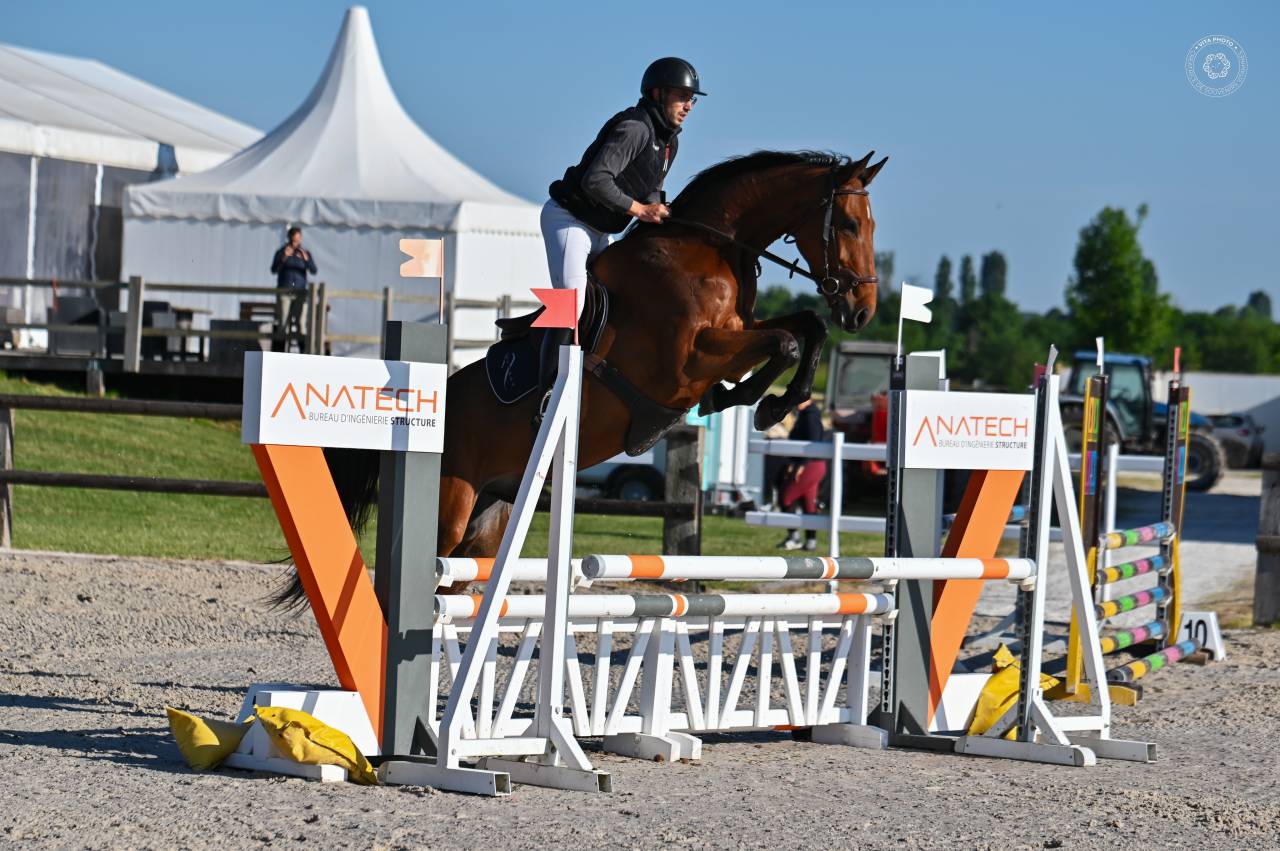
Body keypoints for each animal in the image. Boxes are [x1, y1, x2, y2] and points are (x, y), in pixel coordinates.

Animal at [281, 149, 886, 606]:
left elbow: (803, 327)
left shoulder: (736, 334)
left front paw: (771, 401)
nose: (862, 312)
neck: (707, 250)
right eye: (849, 223)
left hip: (489, 520)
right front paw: (758, 402)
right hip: (450, 506)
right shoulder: (685, 363)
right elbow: (783, 341)